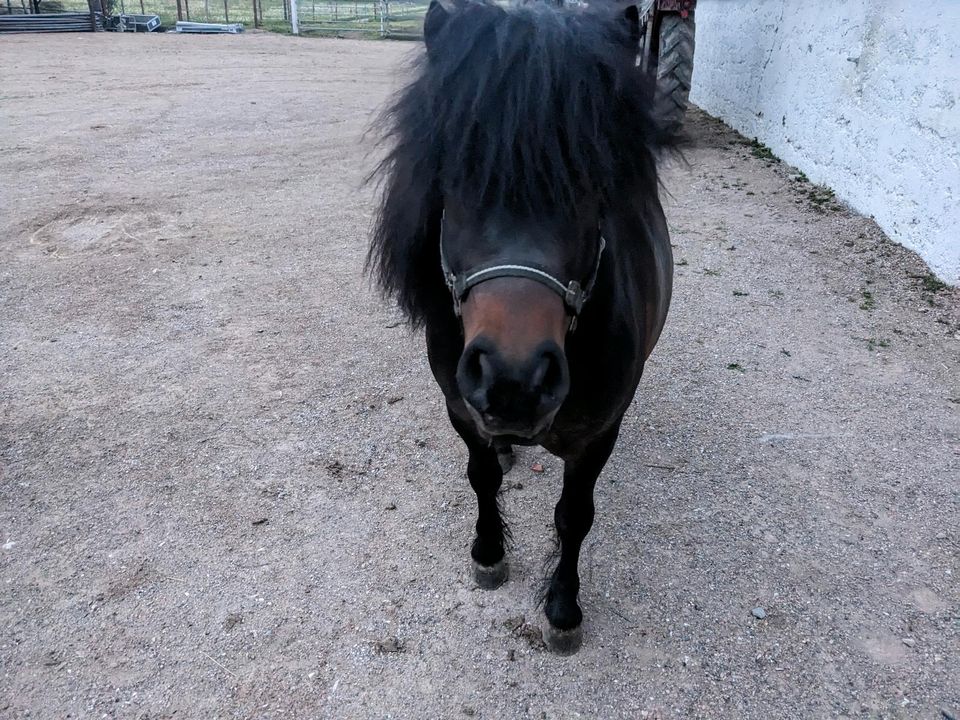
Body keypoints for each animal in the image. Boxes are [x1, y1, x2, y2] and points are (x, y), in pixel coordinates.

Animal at [364, 0, 672, 652]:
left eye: (593, 185)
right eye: (455, 181)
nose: (513, 381)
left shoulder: (599, 435)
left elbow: (574, 516)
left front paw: (562, 607)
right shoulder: (460, 407)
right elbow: (481, 476)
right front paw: (488, 553)